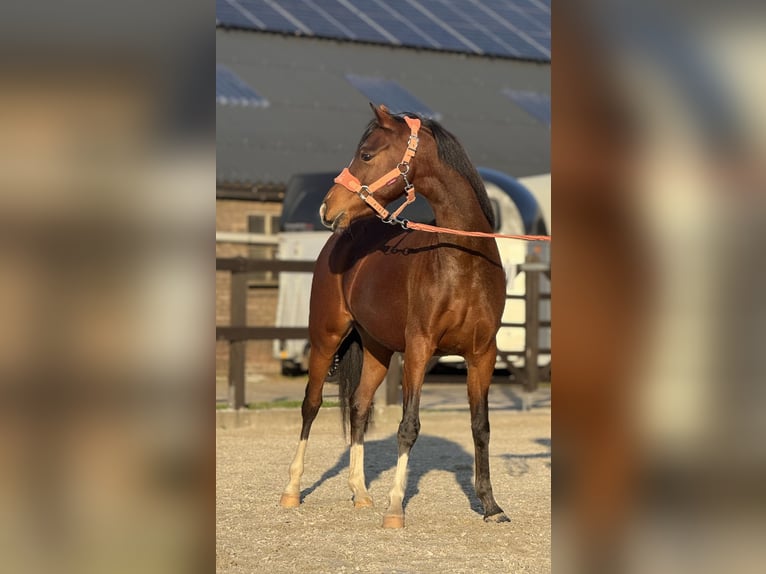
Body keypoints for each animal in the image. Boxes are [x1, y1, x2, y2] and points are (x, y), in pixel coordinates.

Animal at [280, 104, 510, 532]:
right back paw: (292, 490)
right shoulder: (419, 349)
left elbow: (481, 427)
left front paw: (491, 506)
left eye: (366, 154)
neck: (464, 264)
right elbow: (409, 426)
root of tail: (341, 237)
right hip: (325, 339)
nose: (326, 207)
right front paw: (395, 508)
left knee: (358, 407)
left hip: (376, 349)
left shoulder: (483, 355)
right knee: (311, 404)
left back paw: (360, 493)